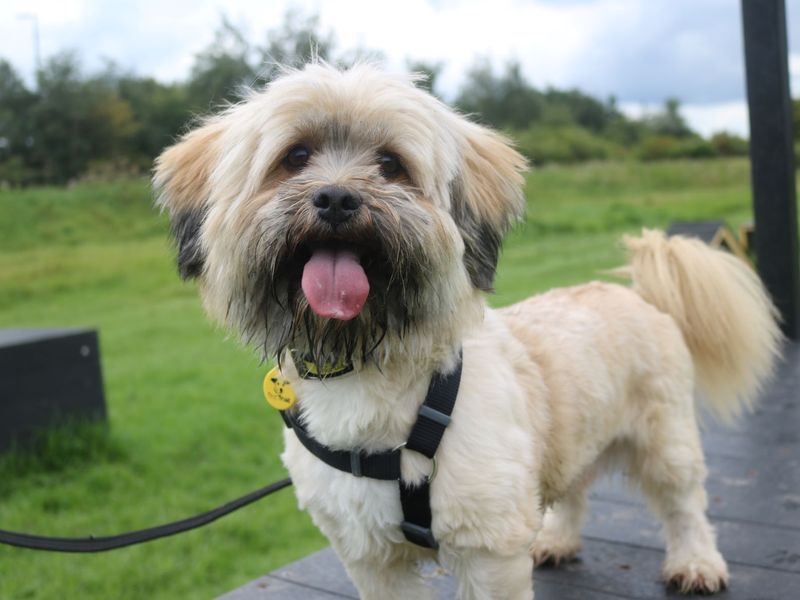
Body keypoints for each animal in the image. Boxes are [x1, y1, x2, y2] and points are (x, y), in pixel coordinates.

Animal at [155, 64, 780, 600]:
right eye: (296, 156)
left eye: (390, 164)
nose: (335, 197)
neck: (375, 377)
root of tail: (640, 294)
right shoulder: (371, 556)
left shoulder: (488, 547)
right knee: (574, 489)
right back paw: (557, 539)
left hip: (666, 439)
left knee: (684, 505)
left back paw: (696, 564)